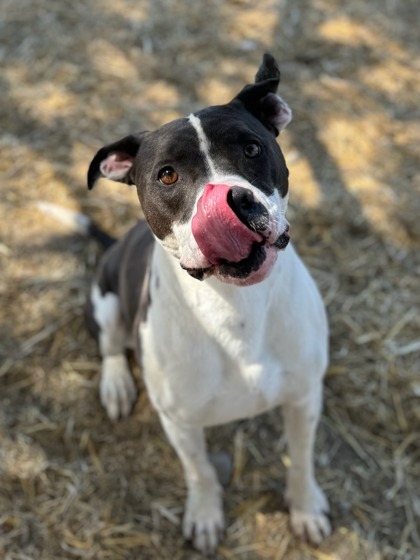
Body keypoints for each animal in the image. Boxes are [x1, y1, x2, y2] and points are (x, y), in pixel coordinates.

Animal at [85, 54, 332, 552]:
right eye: (167, 174)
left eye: (252, 149)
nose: (233, 199)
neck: (236, 307)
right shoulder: (179, 421)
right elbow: (199, 471)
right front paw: (204, 515)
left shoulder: (304, 396)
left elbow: (301, 458)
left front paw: (305, 507)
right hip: (104, 299)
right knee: (110, 345)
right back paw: (117, 385)